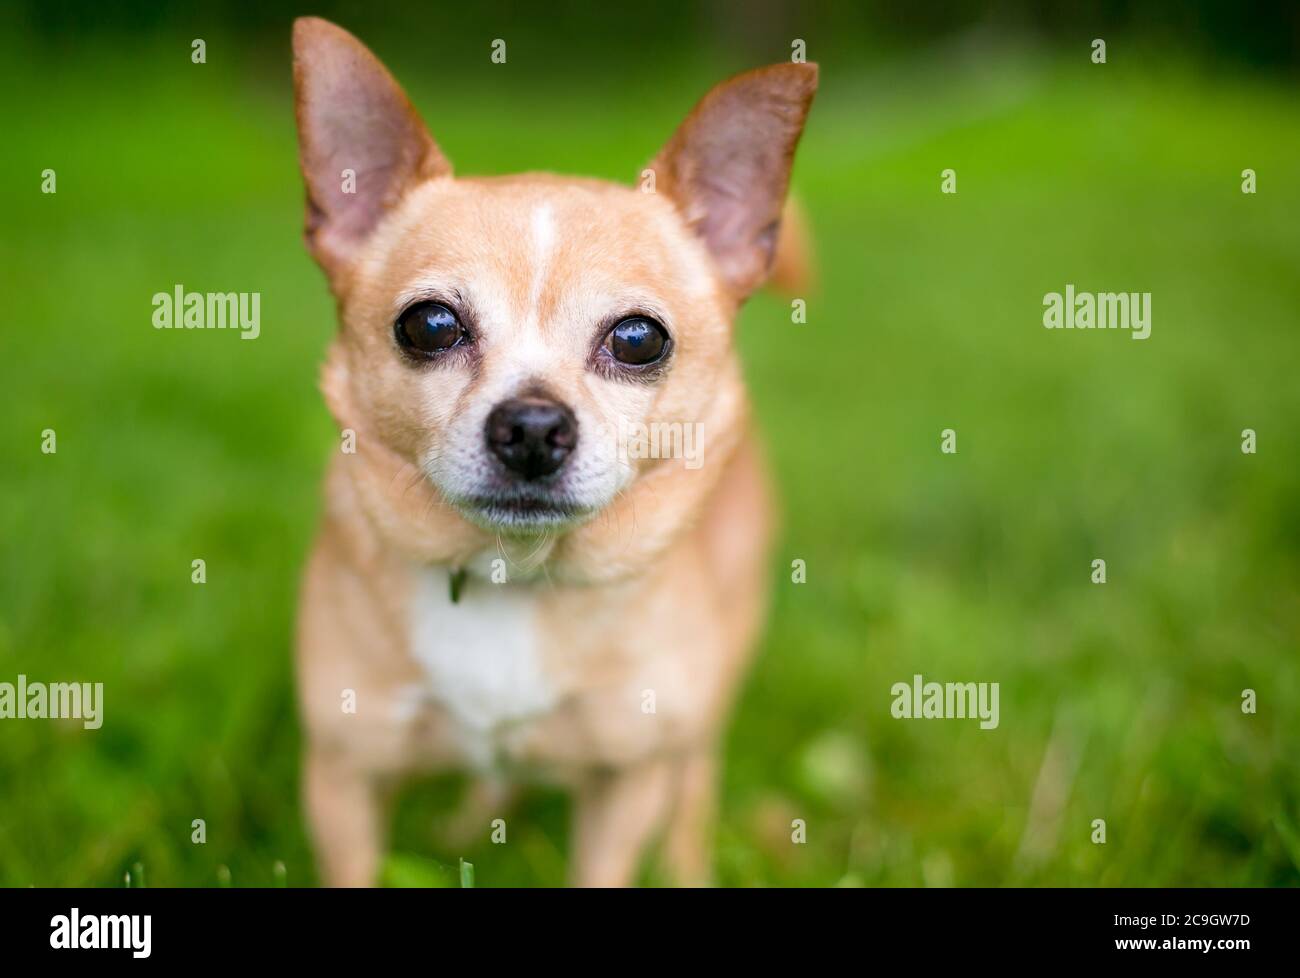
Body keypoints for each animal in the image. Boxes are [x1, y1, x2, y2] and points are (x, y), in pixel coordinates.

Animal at [295, 15, 816, 884]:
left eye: (638, 339)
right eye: (428, 325)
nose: (533, 427)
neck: (512, 578)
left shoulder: (628, 779)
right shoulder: (343, 772)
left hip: (700, 712)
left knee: (693, 789)